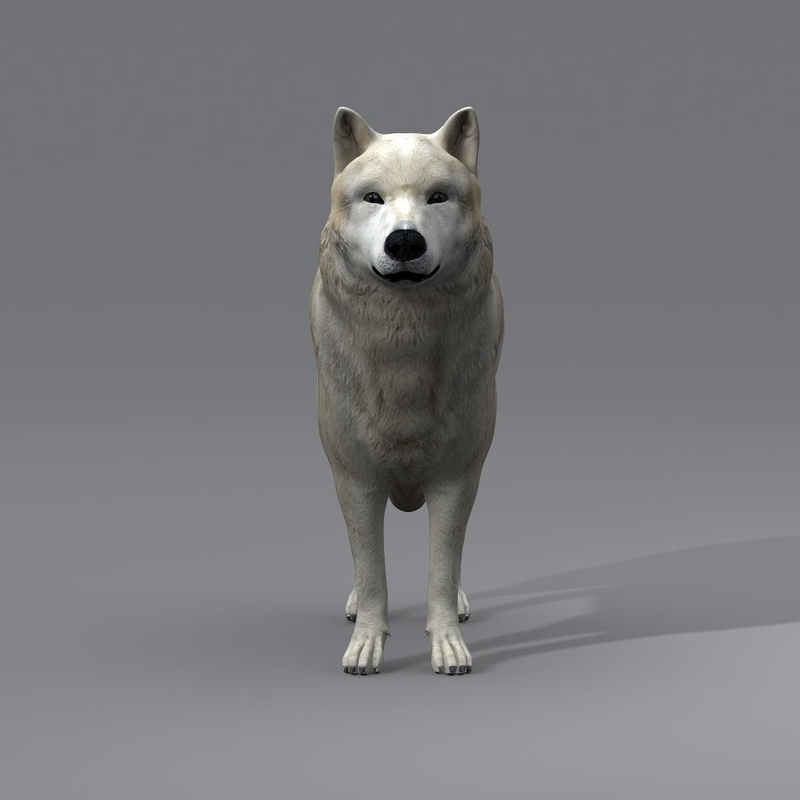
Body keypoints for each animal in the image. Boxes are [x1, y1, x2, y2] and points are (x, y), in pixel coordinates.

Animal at [309, 106, 504, 675]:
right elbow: (372, 570)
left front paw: (447, 645)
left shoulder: (457, 477)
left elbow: (442, 567)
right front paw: (367, 645)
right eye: (373, 197)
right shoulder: (355, 479)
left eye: (437, 196)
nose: (404, 242)